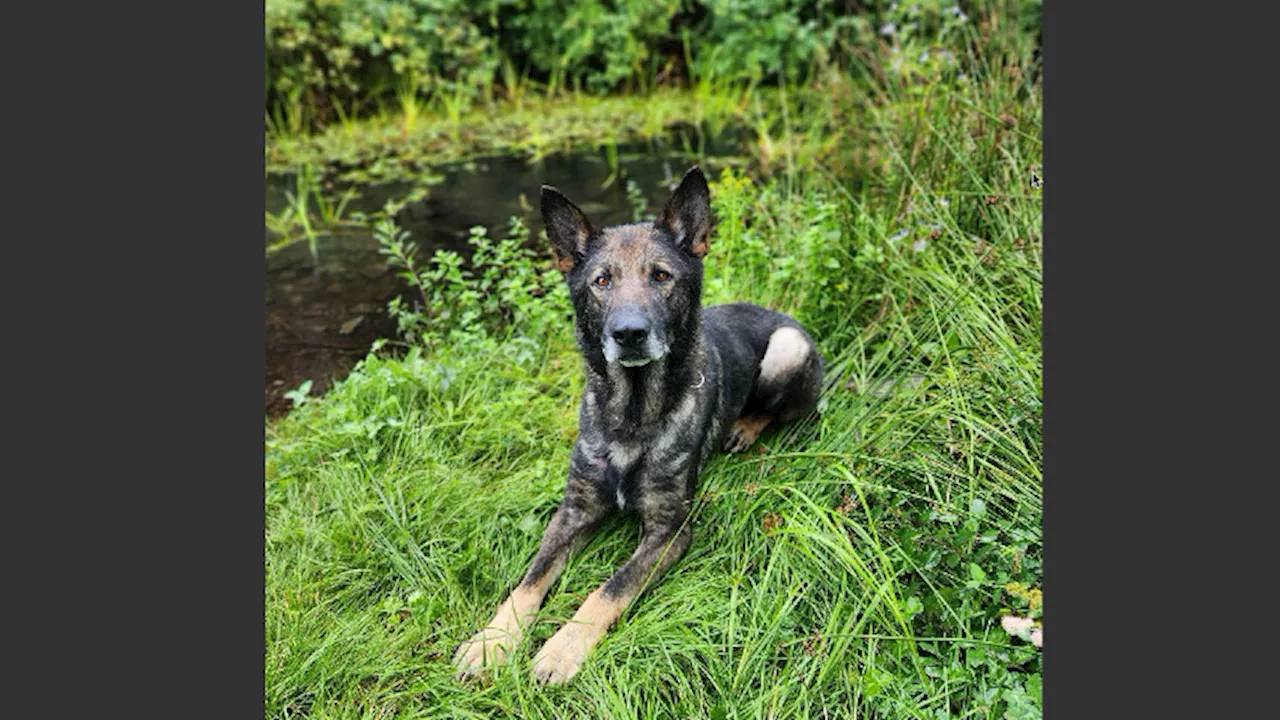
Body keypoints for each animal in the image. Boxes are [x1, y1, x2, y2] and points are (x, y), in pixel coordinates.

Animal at [455, 165, 824, 681]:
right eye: (601, 281)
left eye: (662, 275)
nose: (628, 334)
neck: (630, 415)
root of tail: (781, 312)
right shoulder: (573, 511)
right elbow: (530, 579)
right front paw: (492, 640)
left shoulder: (670, 531)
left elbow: (610, 587)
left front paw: (561, 649)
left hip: (788, 348)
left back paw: (745, 428)